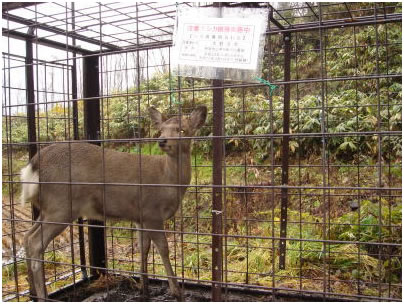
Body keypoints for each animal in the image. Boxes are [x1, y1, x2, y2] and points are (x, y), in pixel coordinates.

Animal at [20, 105, 207, 300]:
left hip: (48, 207)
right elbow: (163, 248)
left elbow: (144, 249)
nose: (162, 141)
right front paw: (177, 292)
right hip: (62, 205)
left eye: (182, 130)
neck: (168, 180)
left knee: (26, 237)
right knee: (35, 243)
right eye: (161, 130)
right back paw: (42, 296)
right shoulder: (152, 212)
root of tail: (32, 167)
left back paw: (32, 292)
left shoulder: (140, 217)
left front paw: (144, 290)